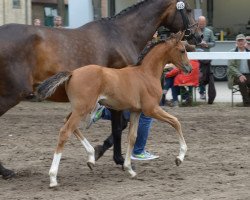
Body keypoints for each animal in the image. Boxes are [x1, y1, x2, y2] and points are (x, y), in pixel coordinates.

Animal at [36, 31, 191, 188]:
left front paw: (129, 169)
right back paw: (53, 178)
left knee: (67, 122)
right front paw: (179, 158)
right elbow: (175, 122)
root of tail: (72, 73)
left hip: (81, 108)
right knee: (65, 131)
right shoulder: (151, 109)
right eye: (182, 50)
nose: (189, 68)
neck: (146, 74)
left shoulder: (136, 111)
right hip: (83, 108)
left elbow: (132, 137)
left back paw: (91, 157)